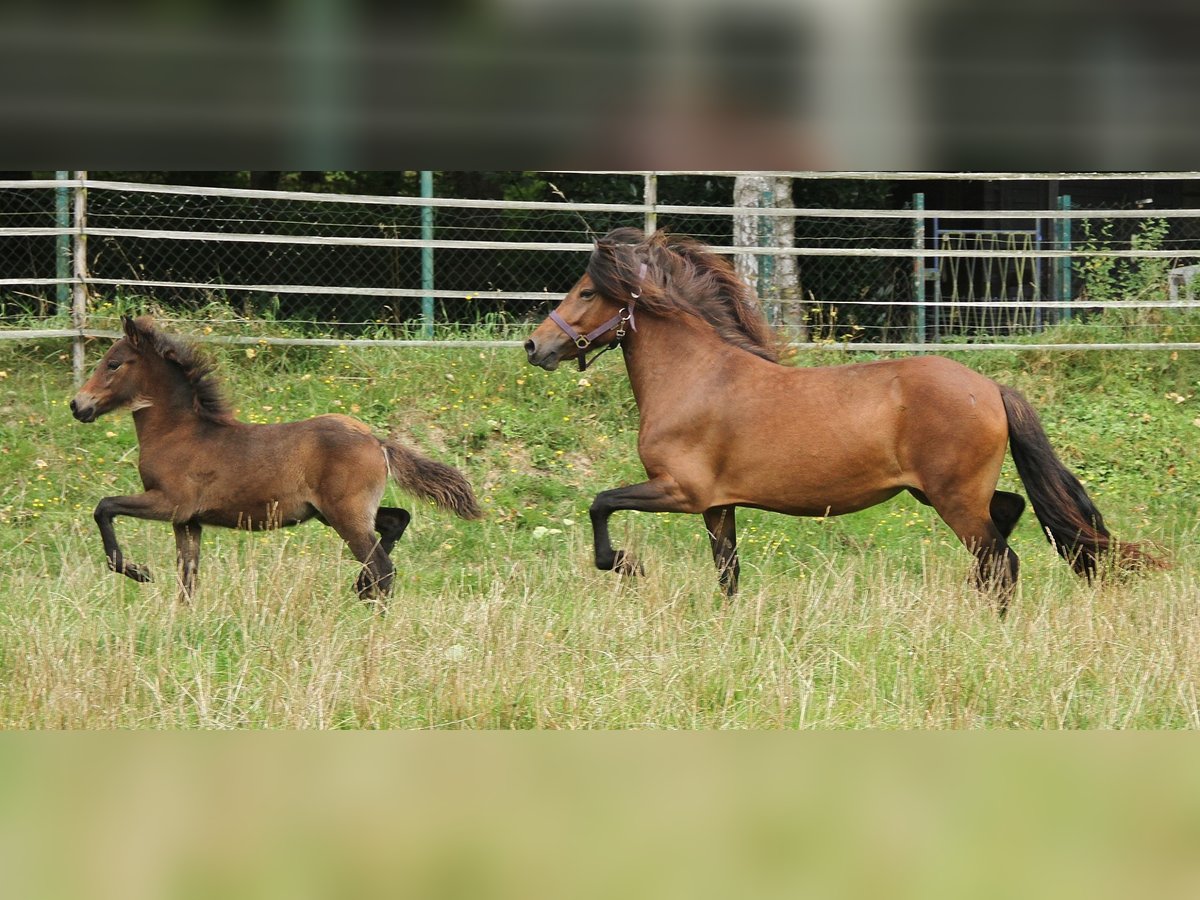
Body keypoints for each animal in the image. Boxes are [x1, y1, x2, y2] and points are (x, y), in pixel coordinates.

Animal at [70, 316, 480, 607]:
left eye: (113, 364)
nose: (78, 405)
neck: (179, 433)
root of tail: (376, 440)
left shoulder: (170, 503)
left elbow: (104, 507)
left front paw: (138, 572)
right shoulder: (188, 521)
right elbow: (188, 576)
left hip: (345, 515)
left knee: (383, 569)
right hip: (336, 512)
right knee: (396, 523)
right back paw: (359, 586)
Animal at [528, 229, 1161, 619]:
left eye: (587, 291)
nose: (536, 346)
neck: (696, 377)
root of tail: (990, 389)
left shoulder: (680, 491)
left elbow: (600, 504)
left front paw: (625, 565)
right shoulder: (717, 505)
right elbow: (728, 573)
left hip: (954, 498)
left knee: (1001, 560)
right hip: (944, 494)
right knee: (1007, 520)